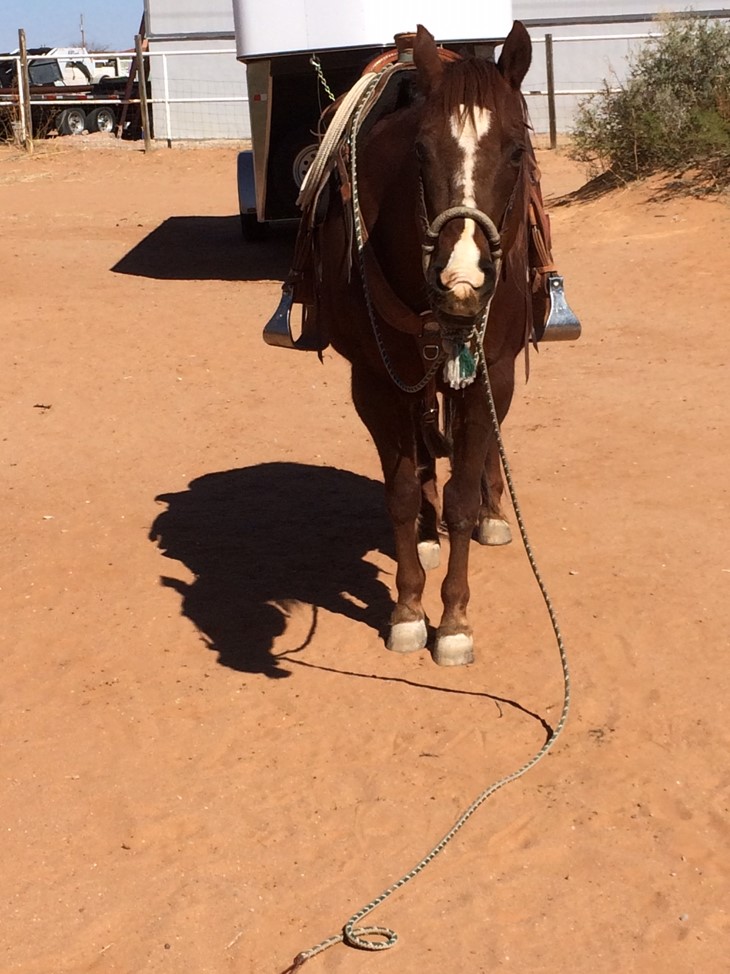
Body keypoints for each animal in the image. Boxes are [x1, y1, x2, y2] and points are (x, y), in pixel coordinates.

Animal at [310, 22, 544, 668]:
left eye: (516, 151)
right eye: (420, 151)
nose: (461, 280)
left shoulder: (493, 370)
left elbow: (462, 495)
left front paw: (455, 621)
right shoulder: (374, 381)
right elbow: (400, 491)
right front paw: (410, 611)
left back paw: (493, 514)